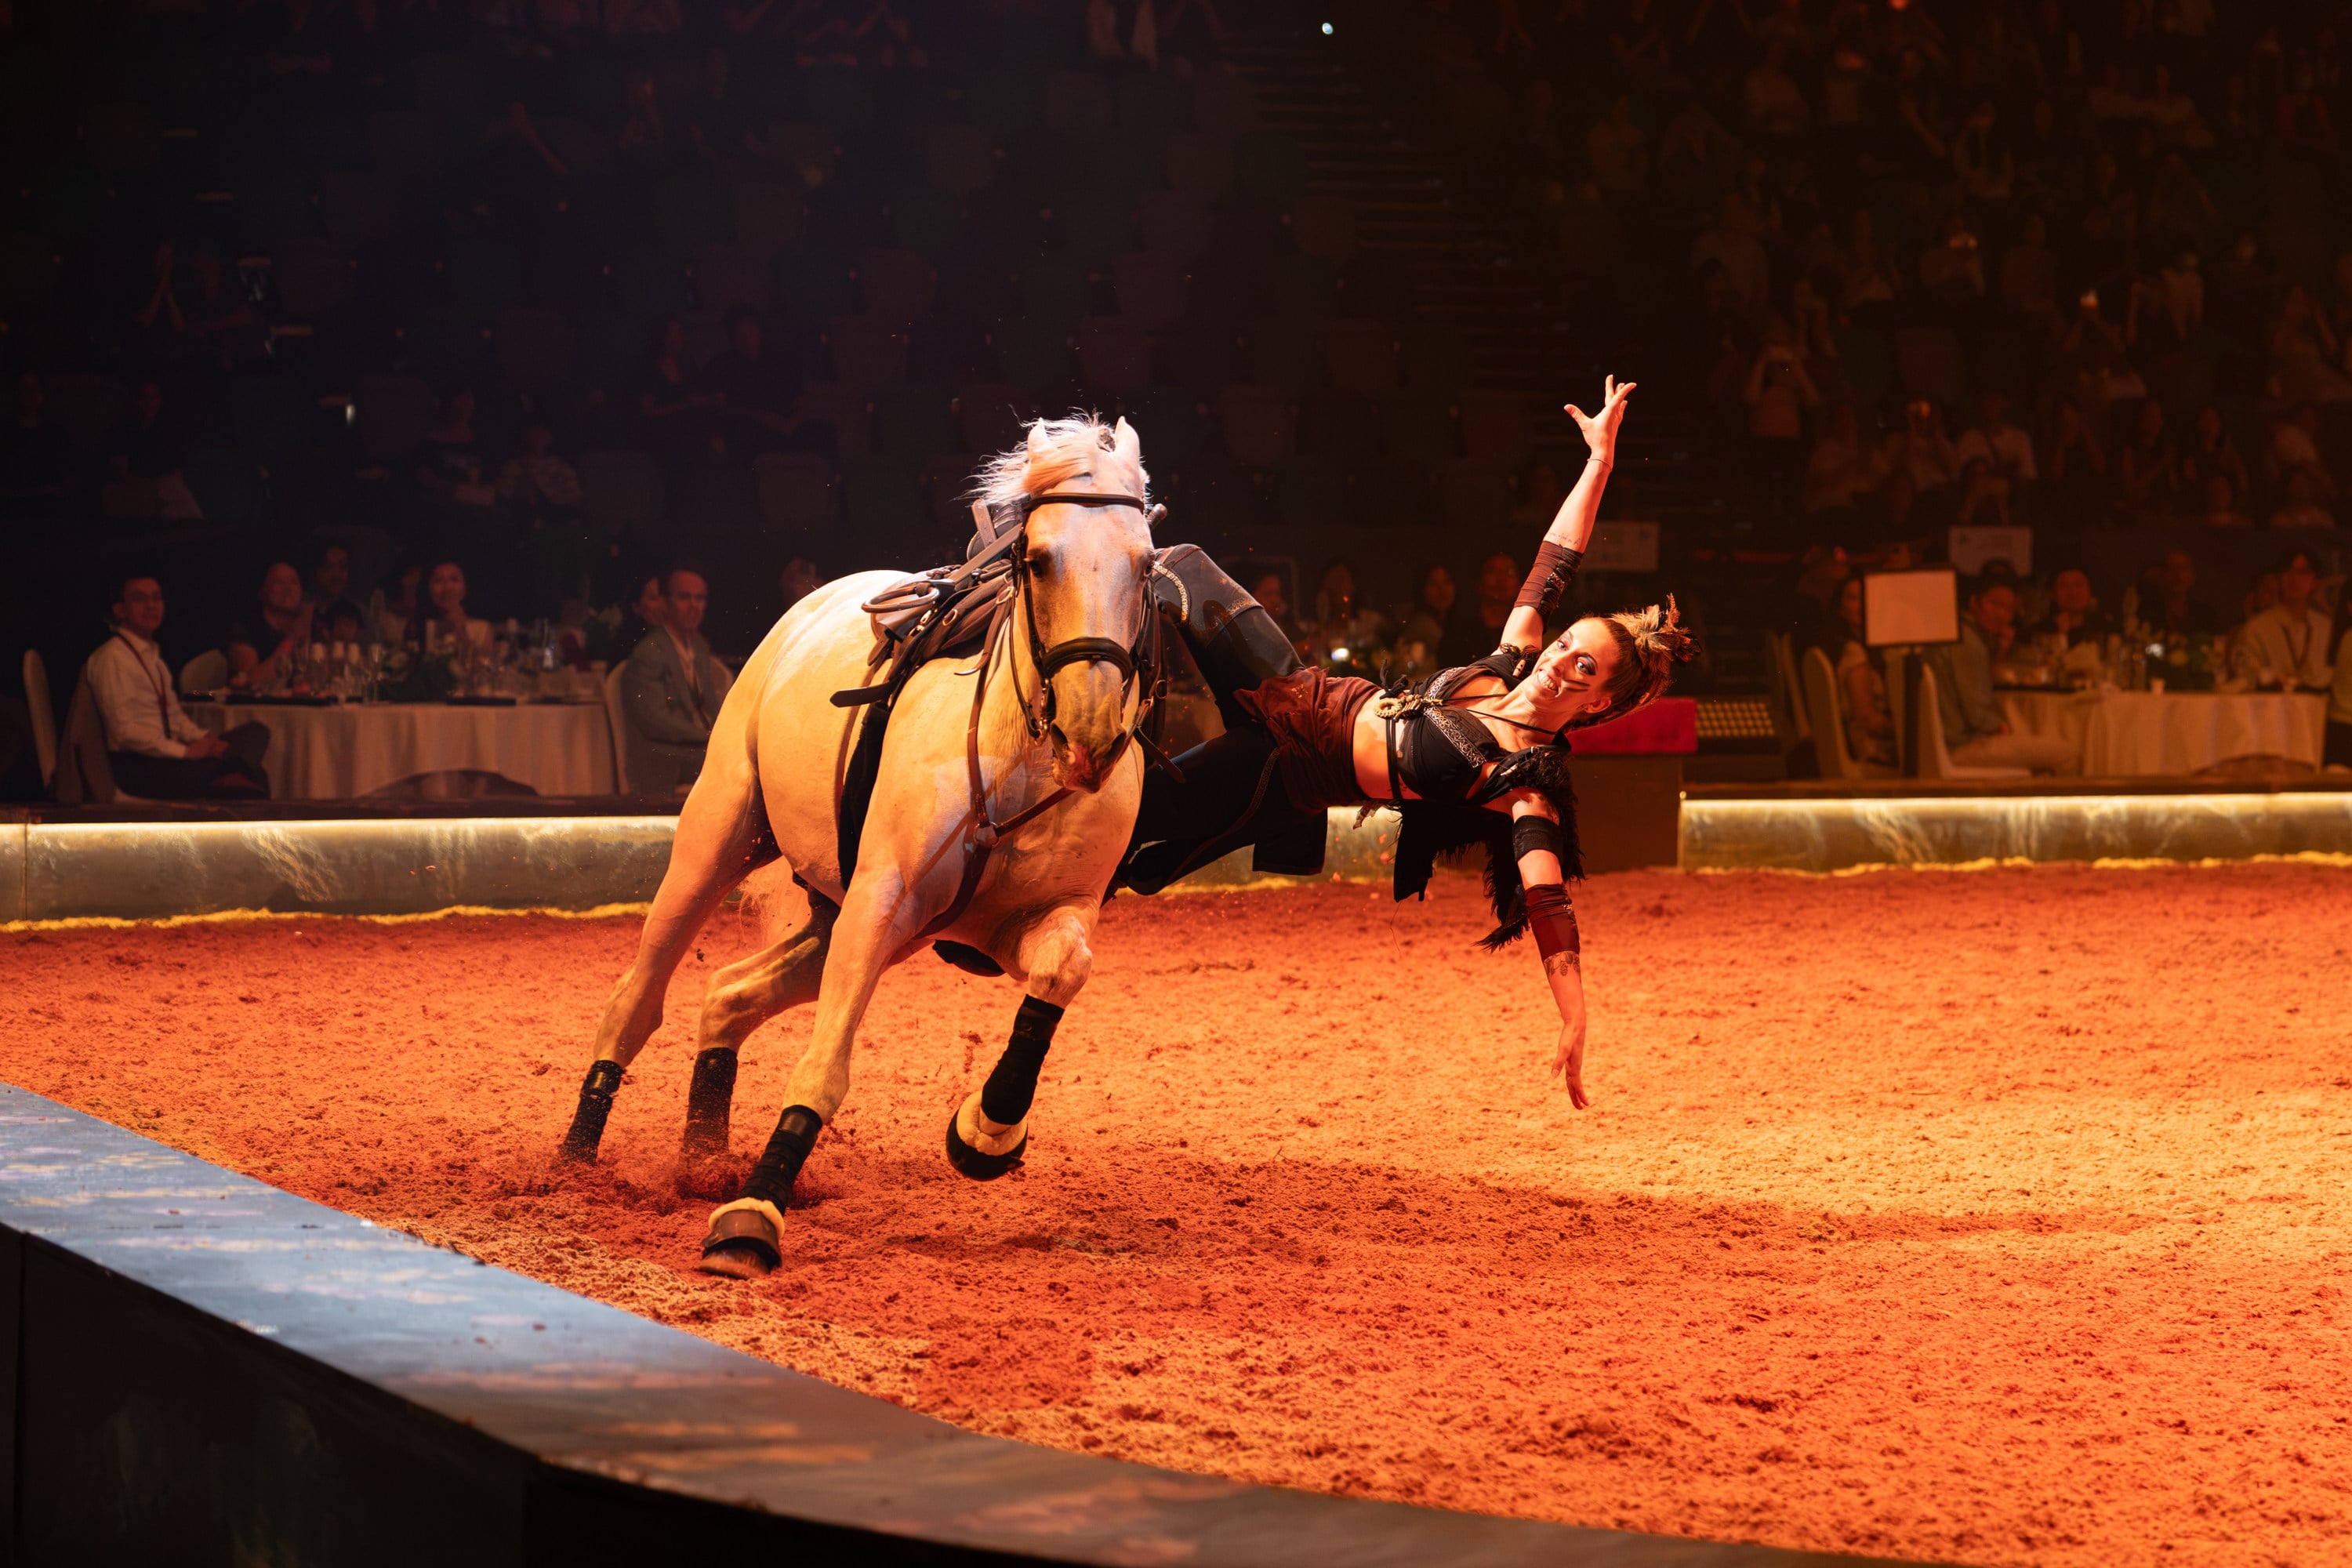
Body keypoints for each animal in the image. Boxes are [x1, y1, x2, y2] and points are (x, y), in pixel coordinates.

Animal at [557, 415, 1161, 1280]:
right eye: (1041, 559)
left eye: (1146, 564)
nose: (1093, 728)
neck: (1018, 755)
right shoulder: (883, 901)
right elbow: (827, 1063)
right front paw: (753, 1216)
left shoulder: (1030, 918)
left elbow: (1062, 973)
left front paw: (985, 1132)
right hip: (721, 841)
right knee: (640, 997)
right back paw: (579, 1154)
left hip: (843, 920)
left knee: (728, 995)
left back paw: (704, 1158)